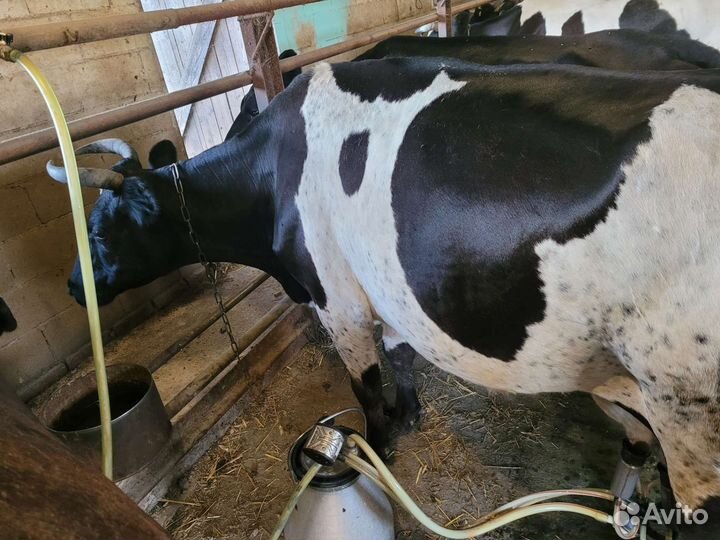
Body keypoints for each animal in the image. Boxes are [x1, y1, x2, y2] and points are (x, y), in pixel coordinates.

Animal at [48, 59, 720, 537]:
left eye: (99, 230)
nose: (73, 287)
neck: (273, 173)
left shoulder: (336, 298)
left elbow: (365, 384)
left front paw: (380, 448)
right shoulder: (390, 292)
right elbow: (401, 357)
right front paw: (413, 416)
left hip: (691, 413)